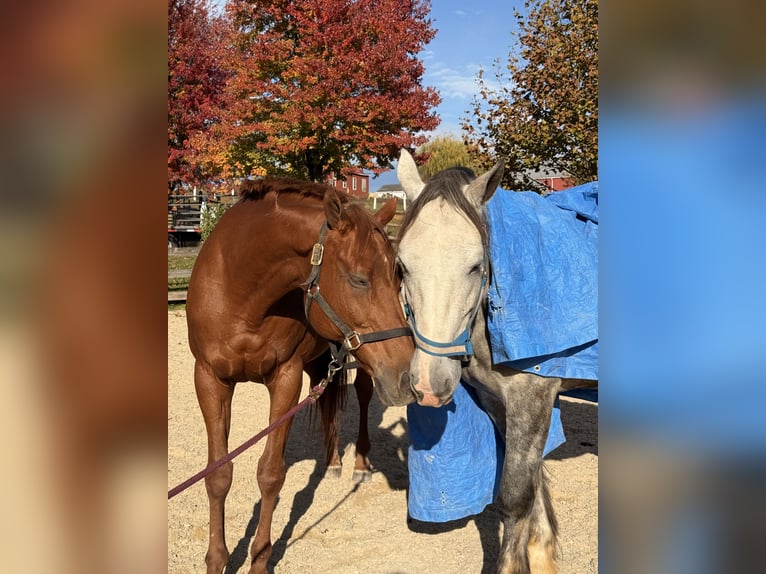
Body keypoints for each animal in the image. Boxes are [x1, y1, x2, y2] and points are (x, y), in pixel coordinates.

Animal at [186, 177, 415, 574]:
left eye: (397, 276)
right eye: (359, 280)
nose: (407, 377)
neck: (239, 296)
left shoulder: (285, 380)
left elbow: (270, 474)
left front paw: (259, 560)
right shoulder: (210, 380)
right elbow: (217, 474)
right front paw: (217, 560)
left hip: (362, 364)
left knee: (363, 395)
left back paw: (359, 464)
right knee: (325, 400)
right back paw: (334, 460)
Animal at [395, 149, 596, 574]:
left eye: (475, 266)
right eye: (402, 266)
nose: (429, 385)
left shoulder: (532, 399)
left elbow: (516, 498)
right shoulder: (497, 404)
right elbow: (533, 500)